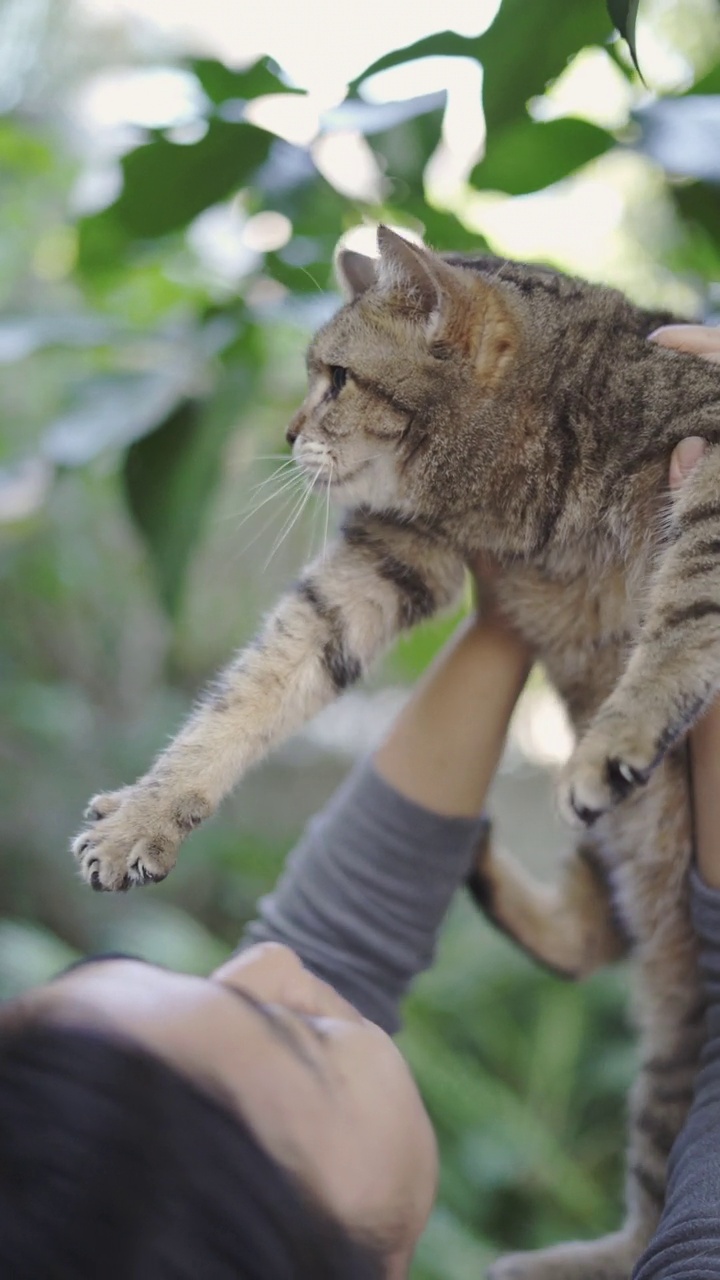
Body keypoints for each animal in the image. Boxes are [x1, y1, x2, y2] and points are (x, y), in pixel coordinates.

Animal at [71, 230, 717, 1280]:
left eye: (335, 376)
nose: (287, 432)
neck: (525, 498)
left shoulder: (705, 451)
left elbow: (689, 601)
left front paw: (626, 727)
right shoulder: (391, 555)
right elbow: (252, 688)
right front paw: (146, 812)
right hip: (663, 978)